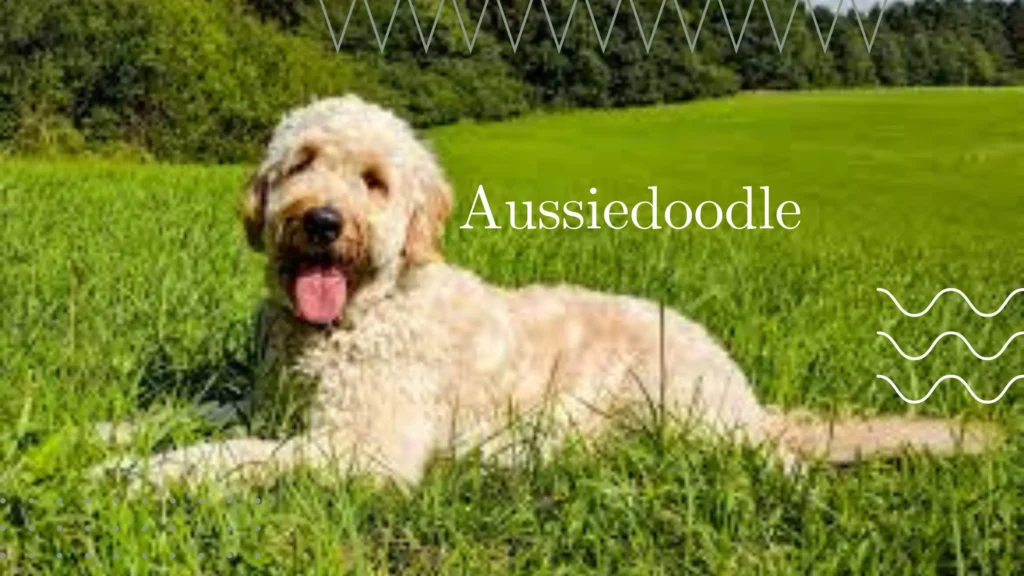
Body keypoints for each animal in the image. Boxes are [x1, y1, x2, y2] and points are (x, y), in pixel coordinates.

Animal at [110, 95, 991, 487]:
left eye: (374, 181)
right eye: (302, 162)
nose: (322, 222)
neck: (353, 319)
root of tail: (742, 390)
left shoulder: (361, 447)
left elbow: (233, 456)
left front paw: (145, 475)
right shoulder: (269, 403)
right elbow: (199, 412)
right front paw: (111, 437)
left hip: (691, 414)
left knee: (772, 460)